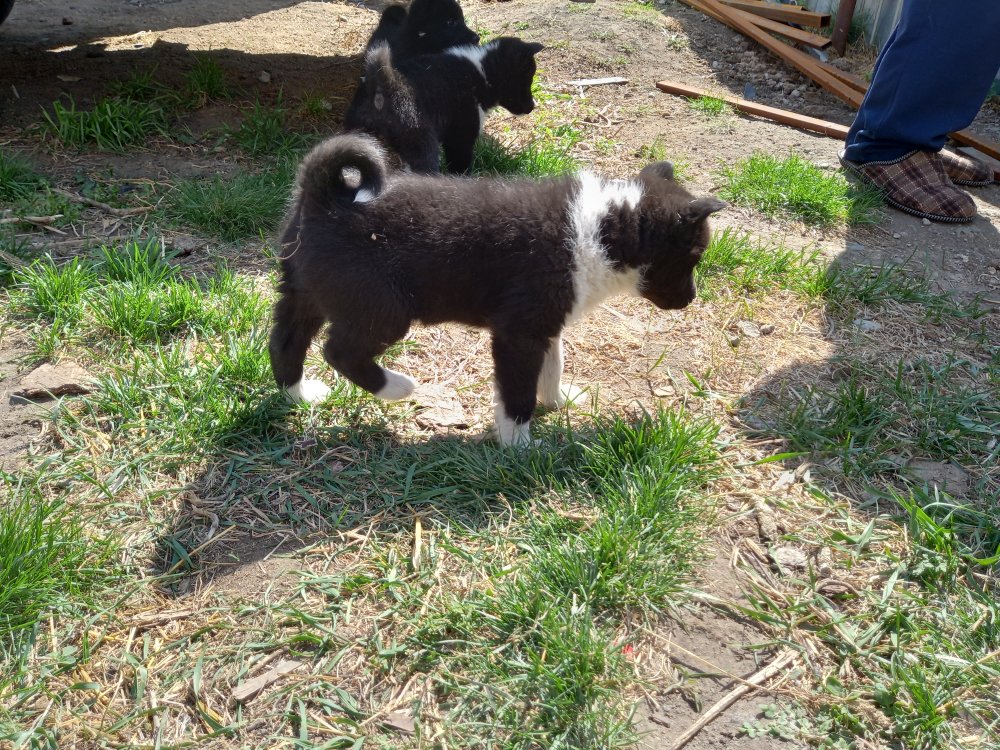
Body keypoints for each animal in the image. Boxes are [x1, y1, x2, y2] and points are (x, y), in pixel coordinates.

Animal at [269, 133, 725, 446]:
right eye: (694, 257)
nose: (691, 299)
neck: (607, 228)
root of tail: (324, 198)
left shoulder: (546, 324)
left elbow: (553, 367)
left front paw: (558, 401)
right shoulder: (518, 334)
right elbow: (517, 393)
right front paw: (518, 444)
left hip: (305, 291)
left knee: (286, 343)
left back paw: (299, 395)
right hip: (383, 308)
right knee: (339, 351)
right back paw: (397, 387)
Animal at [343, 37, 544, 173]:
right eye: (526, 80)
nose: (532, 107)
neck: (481, 72)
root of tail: (380, 85)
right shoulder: (460, 139)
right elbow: (461, 168)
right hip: (423, 146)